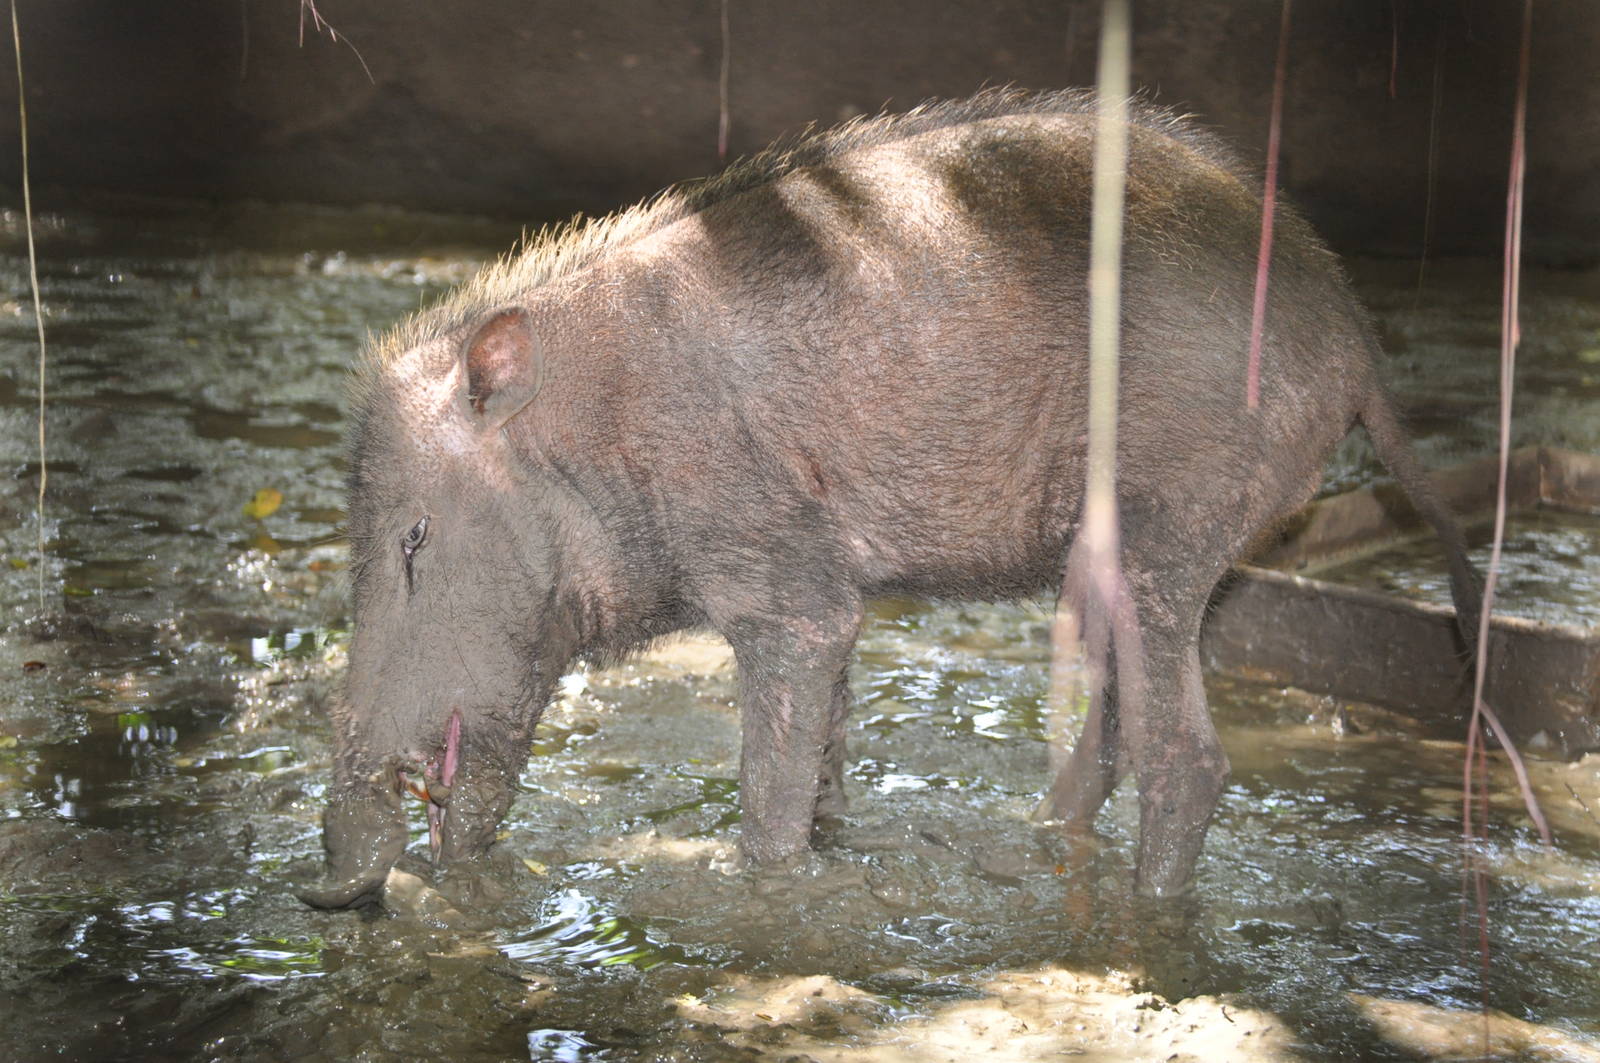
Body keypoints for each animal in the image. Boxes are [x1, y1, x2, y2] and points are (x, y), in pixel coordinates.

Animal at [299, 88, 1478, 909]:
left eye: (412, 537)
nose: (328, 883)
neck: (604, 431)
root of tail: (1355, 345)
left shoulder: (783, 581)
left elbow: (770, 783)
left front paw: (761, 888)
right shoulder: (836, 595)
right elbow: (824, 757)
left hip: (1179, 516)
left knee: (1189, 760)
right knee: (1107, 742)